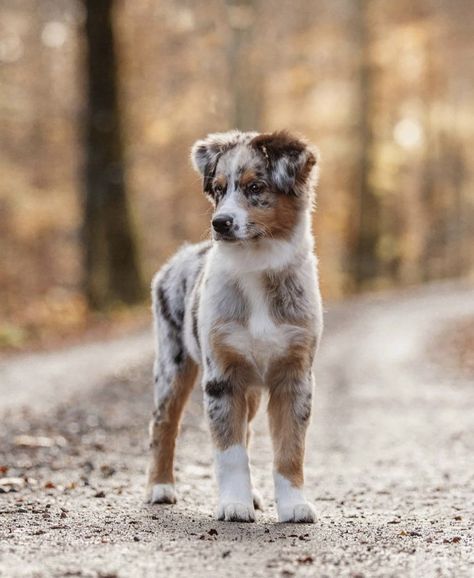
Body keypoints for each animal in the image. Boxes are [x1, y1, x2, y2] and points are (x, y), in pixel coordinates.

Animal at [144, 130, 322, 520]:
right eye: (219, 189)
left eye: (255, 187)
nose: (220, 223)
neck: (257, 266)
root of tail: (178, 257)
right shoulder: (222, 377)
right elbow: (230, 452)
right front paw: (234, 505)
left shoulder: (295, 376)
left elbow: (290, 450)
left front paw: (294, 506)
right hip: (173, 363)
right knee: (163, 423)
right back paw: (159, 488)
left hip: (250, 387)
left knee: (248, 431)